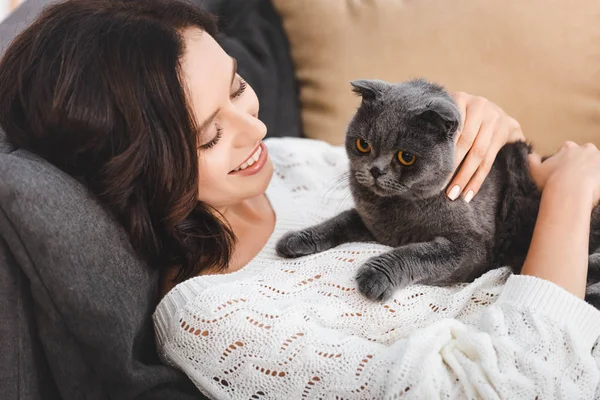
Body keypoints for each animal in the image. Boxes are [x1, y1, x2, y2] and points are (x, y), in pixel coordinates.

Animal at [276, 78, 600, 306]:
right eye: (363, 145)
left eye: (406, 156)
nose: (375, 170)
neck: (397, 211)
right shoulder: (373, 225)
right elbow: (340, 220)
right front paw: (296, 239)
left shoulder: (472, 247)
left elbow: (418, 253)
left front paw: (375, 275)